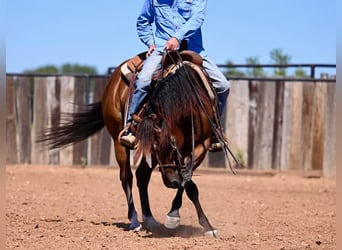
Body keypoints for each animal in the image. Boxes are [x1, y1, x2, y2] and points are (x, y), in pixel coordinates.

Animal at [38, 50, 234, 236]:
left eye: (171, 145)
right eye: (157, 147)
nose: (171, 182)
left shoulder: (202, 146)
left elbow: (187, 181)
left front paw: (204, 225)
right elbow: (188, 183)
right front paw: (175, 217)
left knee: (142, 176)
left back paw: (150, 219)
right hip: (119, 141)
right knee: (127, 177)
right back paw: (134, 220)